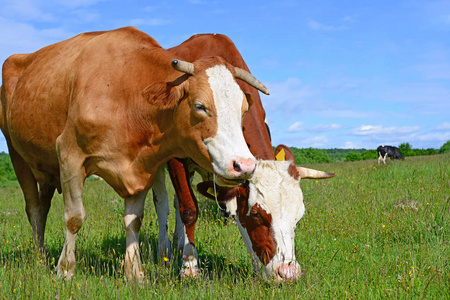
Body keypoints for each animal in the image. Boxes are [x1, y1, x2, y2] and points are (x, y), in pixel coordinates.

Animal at [0, 27, 268, 282]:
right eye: (200, 106)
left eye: (244, 110)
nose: (243, 165)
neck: (126, 94)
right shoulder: (69, 154)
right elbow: (74, 217)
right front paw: (65, 270)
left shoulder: (142, 166)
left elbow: (134, 219)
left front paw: (134, 274)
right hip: (16, 154)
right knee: (34, 209)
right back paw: (40, 259)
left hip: (45, 168)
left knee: (42, 207)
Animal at [150, 34, 334, 282]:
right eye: (256, 215)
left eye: (299, 217)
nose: (288, 273)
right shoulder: (177, 161)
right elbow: (189, 209)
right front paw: (189, 267)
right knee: (163, 202)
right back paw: (166, 250)